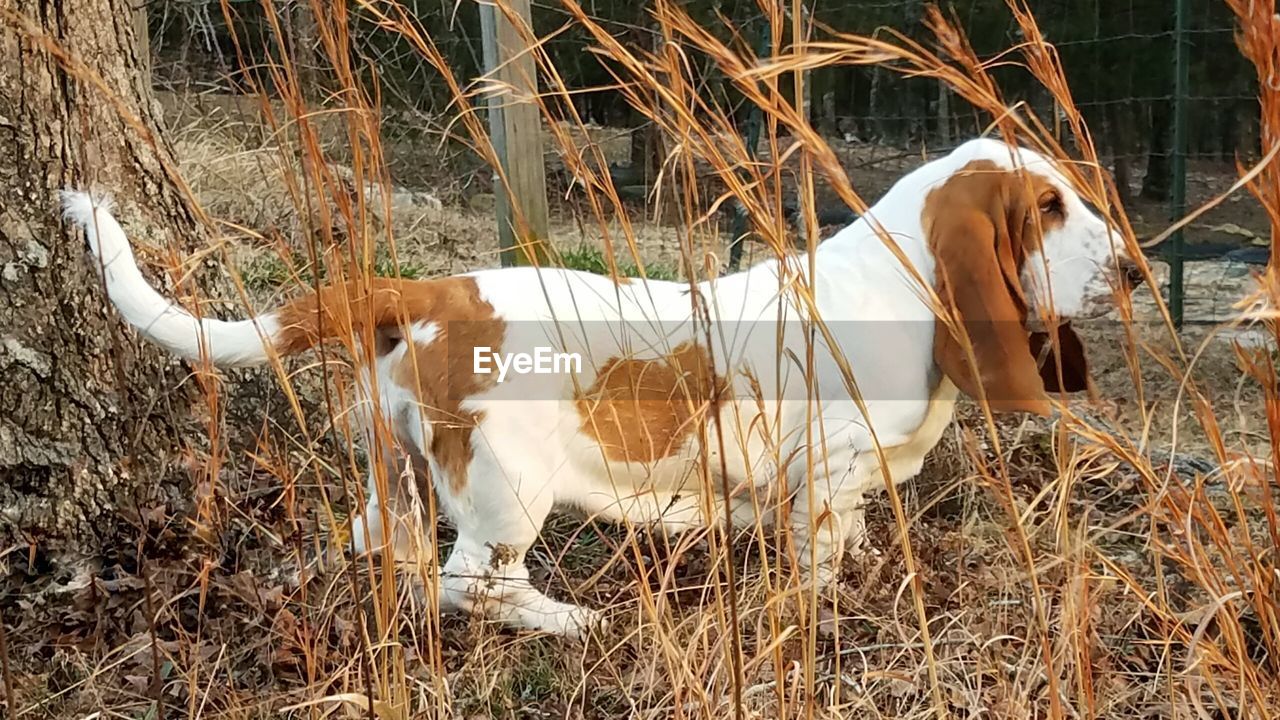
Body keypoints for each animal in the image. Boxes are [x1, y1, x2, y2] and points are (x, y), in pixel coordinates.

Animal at [62, 139, 1141, 632]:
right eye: (1048, 207)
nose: (1133, 270)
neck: (898, 282)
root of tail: (430, 290)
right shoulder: (819, 480)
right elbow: (819, 556)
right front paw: (819, 610)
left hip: (392, 475)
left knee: (376, 552)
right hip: (509, 496)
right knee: (469, 583)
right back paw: (570, 621)